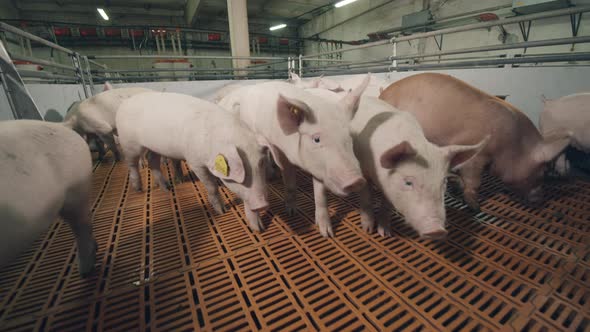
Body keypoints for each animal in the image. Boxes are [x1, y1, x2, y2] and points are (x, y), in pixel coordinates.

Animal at [117, 91, 276, 231]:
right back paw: (138, 189)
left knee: (152, 160)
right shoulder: (195, 162)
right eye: (241, 171)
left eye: (261, 163)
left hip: (155, 146)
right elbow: (212, 186)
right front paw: (222, 211)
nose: (262, 204)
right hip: (129, 143)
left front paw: (259, 228)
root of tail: (125, 102)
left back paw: (167, 188)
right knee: (131, 163)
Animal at [220, 76, 372, 237]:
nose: (357, 180)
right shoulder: (282, 155)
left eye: (349, 137)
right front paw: (292, 212)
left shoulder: (318, 168)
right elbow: (290, 183)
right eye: (316, 139)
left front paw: (327, 234)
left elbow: (320, 196)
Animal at [310, 88, 490, 239]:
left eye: (443, 183)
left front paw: (385, 234)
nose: (437, 230)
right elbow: (366, 198)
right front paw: (368, 229)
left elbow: (387, 205)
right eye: (408, 182)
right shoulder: (363, 171)